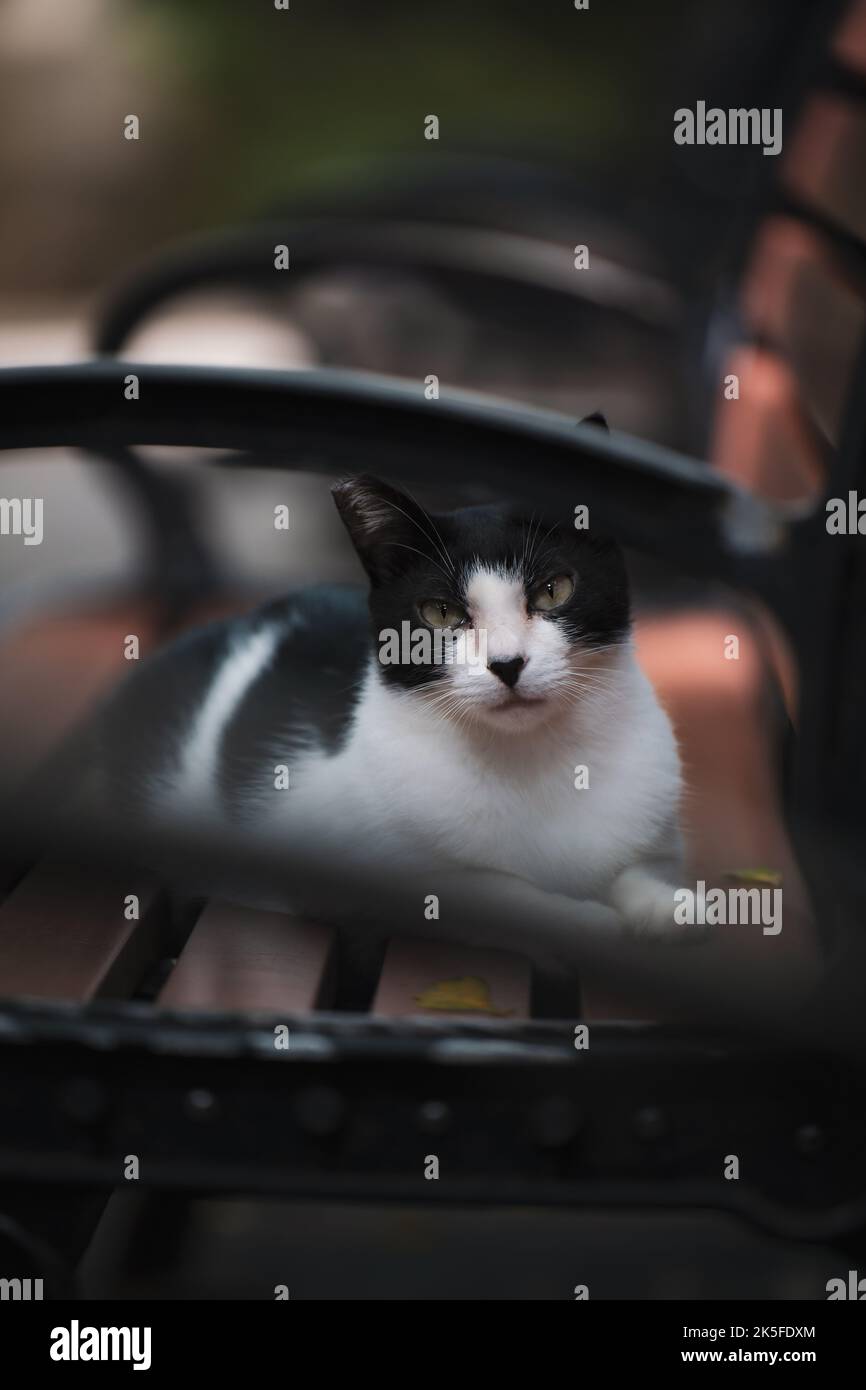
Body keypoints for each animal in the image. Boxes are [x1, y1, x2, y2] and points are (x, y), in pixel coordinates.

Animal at [96, 472, 683, 950]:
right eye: (440, 613)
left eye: (553, 590)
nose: (507, 663)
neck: (531, 758)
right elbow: (496, 892)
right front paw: (587, 922)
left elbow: (643, 865)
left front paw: (665, 903)